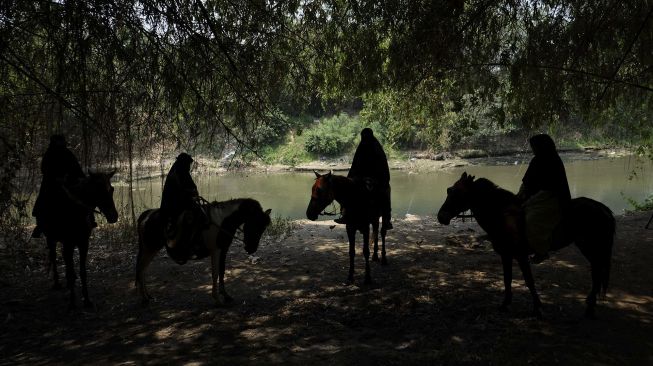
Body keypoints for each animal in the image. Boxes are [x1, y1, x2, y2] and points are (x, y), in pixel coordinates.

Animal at [44, 170, 119, 308]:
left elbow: (83, 272)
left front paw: (87, 300)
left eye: (112, 189)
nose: (113, 216)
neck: (76, 212)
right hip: (51, 239)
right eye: (98, 190)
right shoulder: (68, 244)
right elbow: (69, 269)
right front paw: (72, 303)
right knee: (53, 256)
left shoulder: (83, 243)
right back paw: (57, 283)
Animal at [136, 199, 272, 304]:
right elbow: (215, 273)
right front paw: (217, 299)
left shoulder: (223, 250)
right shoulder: (216, 251)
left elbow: (222, 272)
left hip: (150, 249)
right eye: (255, 223)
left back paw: (148, 296)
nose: (251, 249)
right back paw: (144, 298)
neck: (222, 221)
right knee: (141, 269)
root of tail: (146, 215)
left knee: (143, 270)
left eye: (263, 228)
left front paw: (226, 296)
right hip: (150, 249)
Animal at [436, 172, 612, 318]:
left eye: (456, 193)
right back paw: (590, 304)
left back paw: (590, 307)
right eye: (448, 190)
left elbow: (529, 280)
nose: (441, 217)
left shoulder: (520, 256)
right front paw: (505, 304)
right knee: (596, 272)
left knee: (597, 272)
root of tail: (601, 208)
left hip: (592, 247)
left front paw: (537, 307)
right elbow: (507, 279)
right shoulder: (506, 255)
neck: (501, 216)